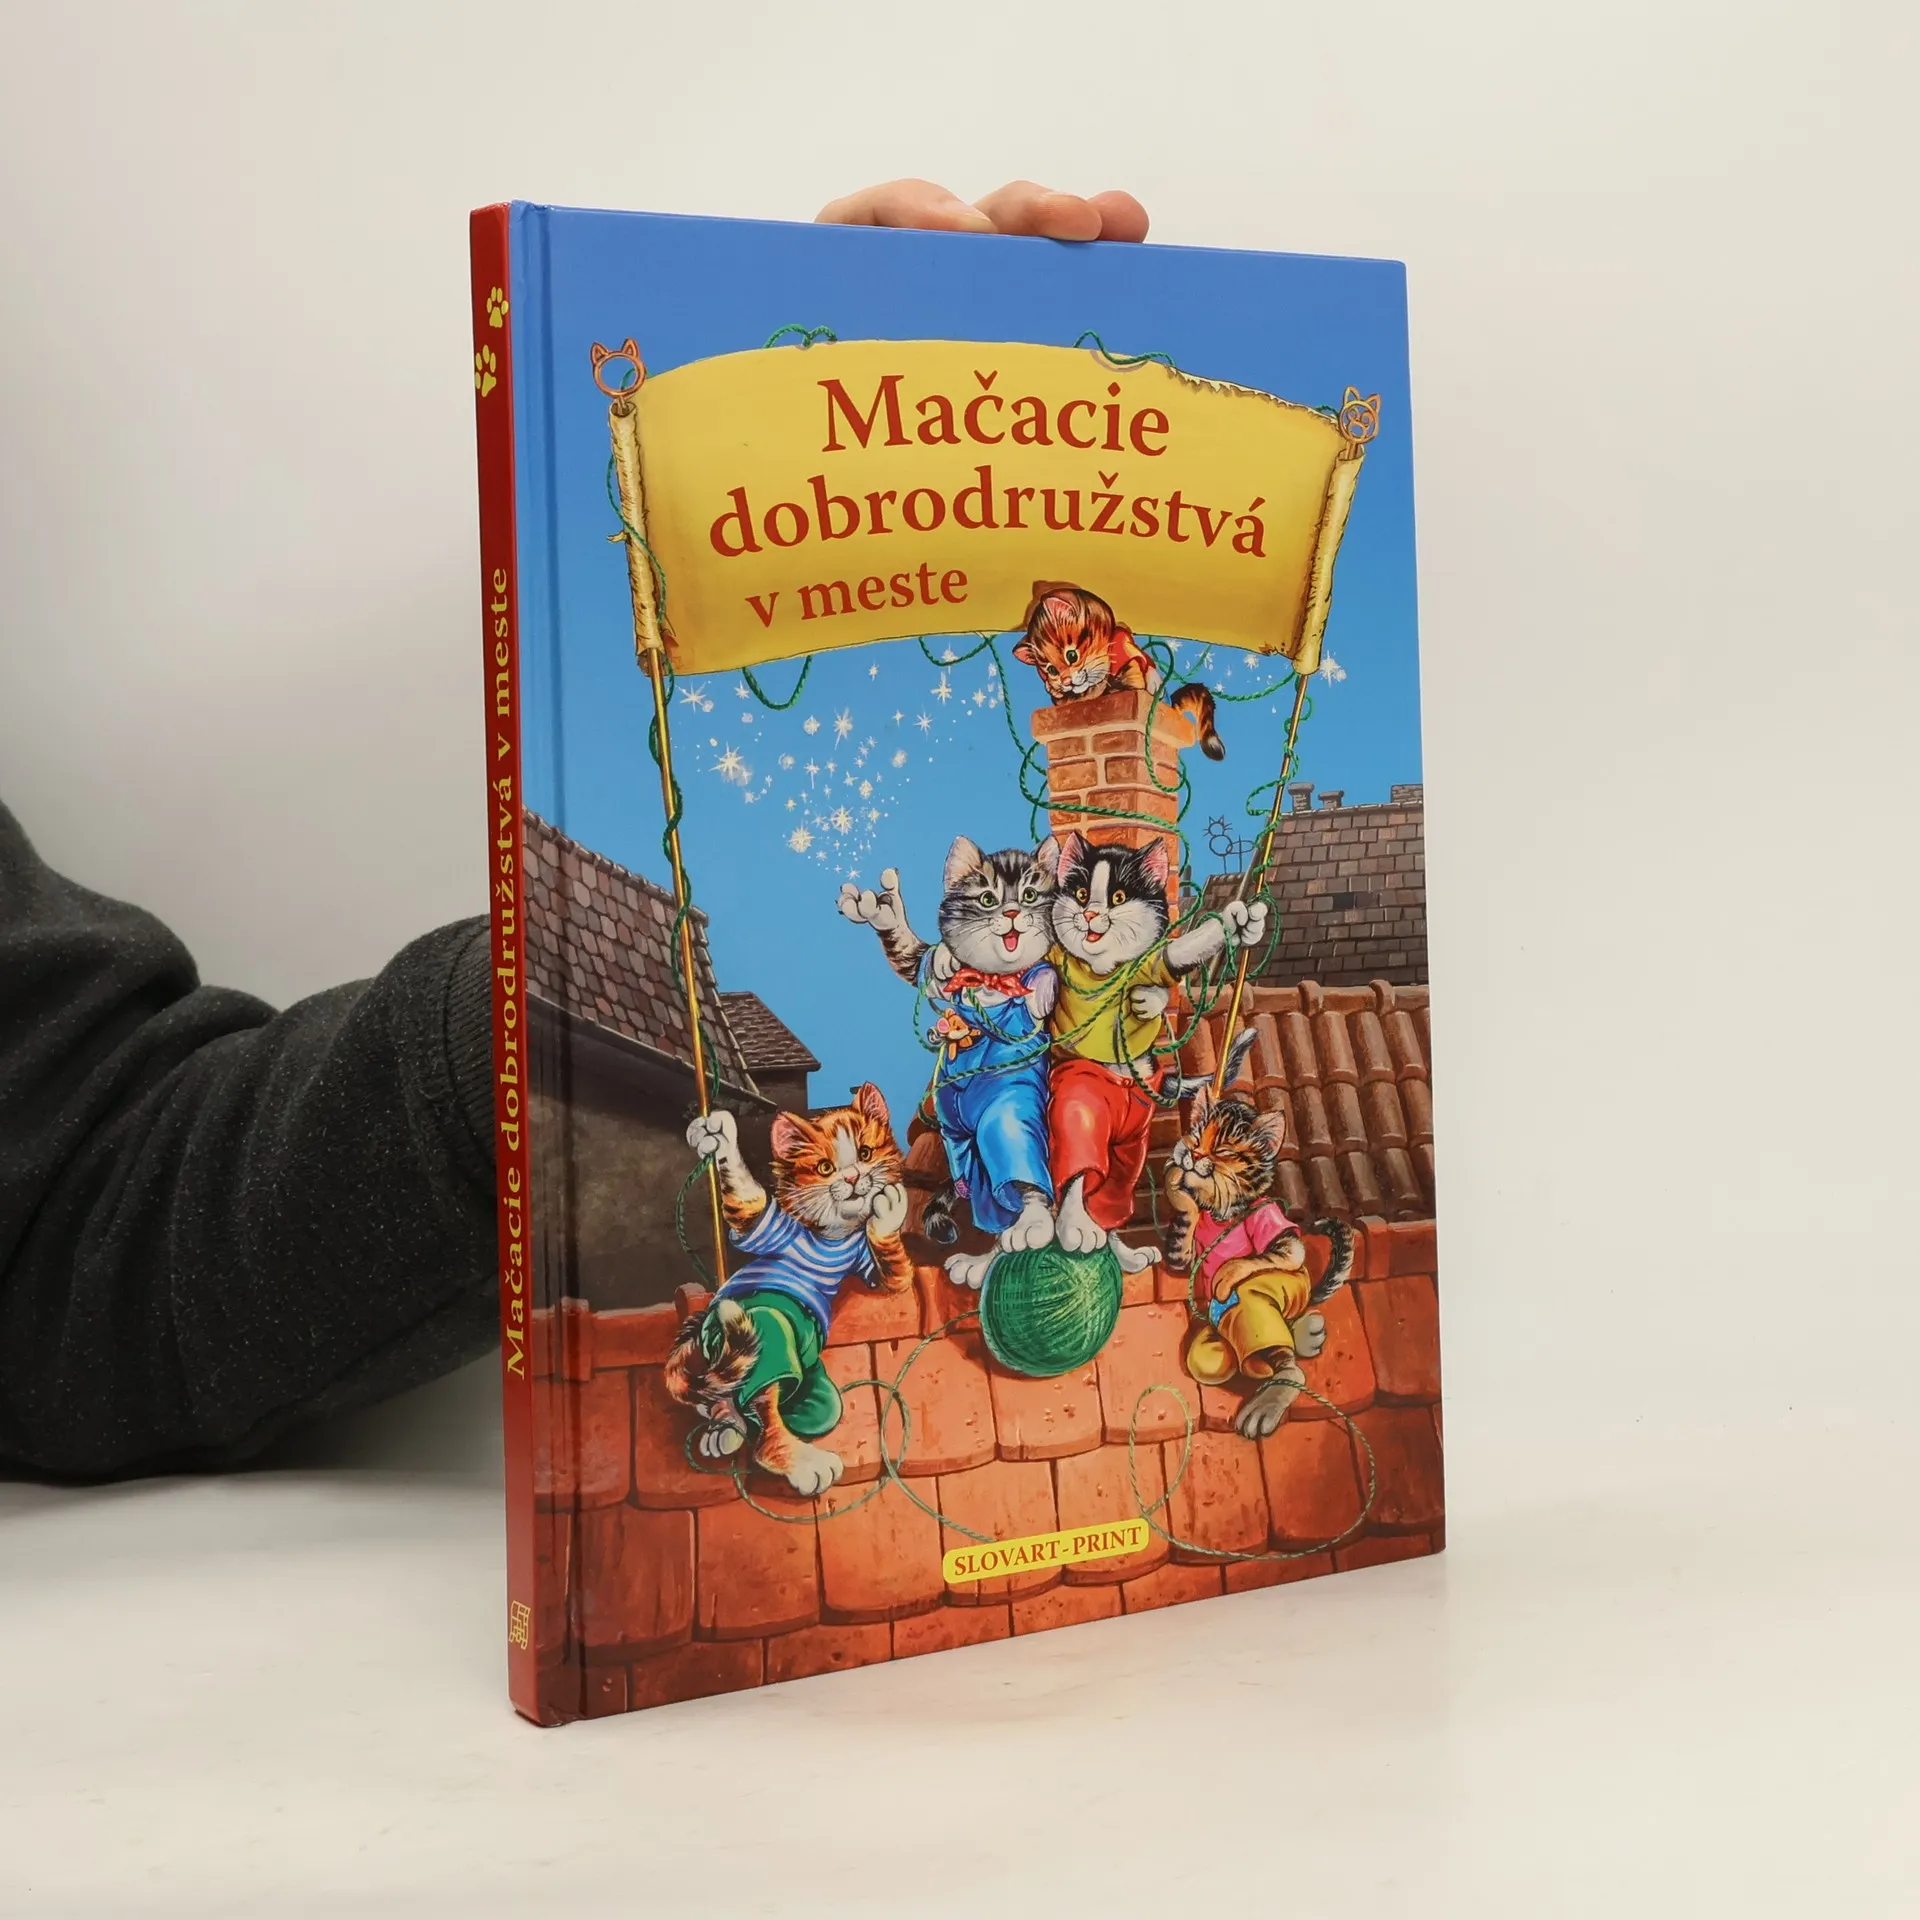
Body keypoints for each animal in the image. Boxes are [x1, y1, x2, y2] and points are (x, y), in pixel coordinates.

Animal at [664, 1087, 911, 1497]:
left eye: (865, 1153)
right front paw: (720, 1137)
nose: (855, 1176)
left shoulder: (867, 1264)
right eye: (826, 1168)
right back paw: (799, 1461)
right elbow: (748, 1205)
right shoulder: (769, 1227)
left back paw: (727, 1423)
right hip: (745, 1330)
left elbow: (895, 1278)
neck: (836, 1236)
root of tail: (699, 1327)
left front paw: (887, 1213)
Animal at [840, 840, 1060, 1289]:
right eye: (988, 899)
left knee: (1010, 1155)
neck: (992, 980)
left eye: (1030, 895)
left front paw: (1041, 987)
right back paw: (985, 1259)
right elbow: (916, 960)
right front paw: (888, 915)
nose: (1013, 913)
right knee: (988, 1201)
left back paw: (1028, 1225)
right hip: (960, 1149)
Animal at [1045, 831, 1266, 1267]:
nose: (1090, 915)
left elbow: (1177, 952)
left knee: (1115, 1188)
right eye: (1081, 894)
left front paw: (1241, 921)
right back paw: (1079, 1226)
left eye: (1117, 897)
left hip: (1133, 1141)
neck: (1103, 967)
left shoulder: (1148, 962)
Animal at [1163, 1079, 1356, 1439]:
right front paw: (1177, 1185)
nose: (1192, 1154)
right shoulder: (1184, 1250)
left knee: (1258, 1309)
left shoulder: (1276, 1229)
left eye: (1223, 1150)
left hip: (1288, 1288)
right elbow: (1181, 1242)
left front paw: (1225, 1273)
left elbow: (1272, 1253)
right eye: (1196, 1138)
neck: (1219, 1209)